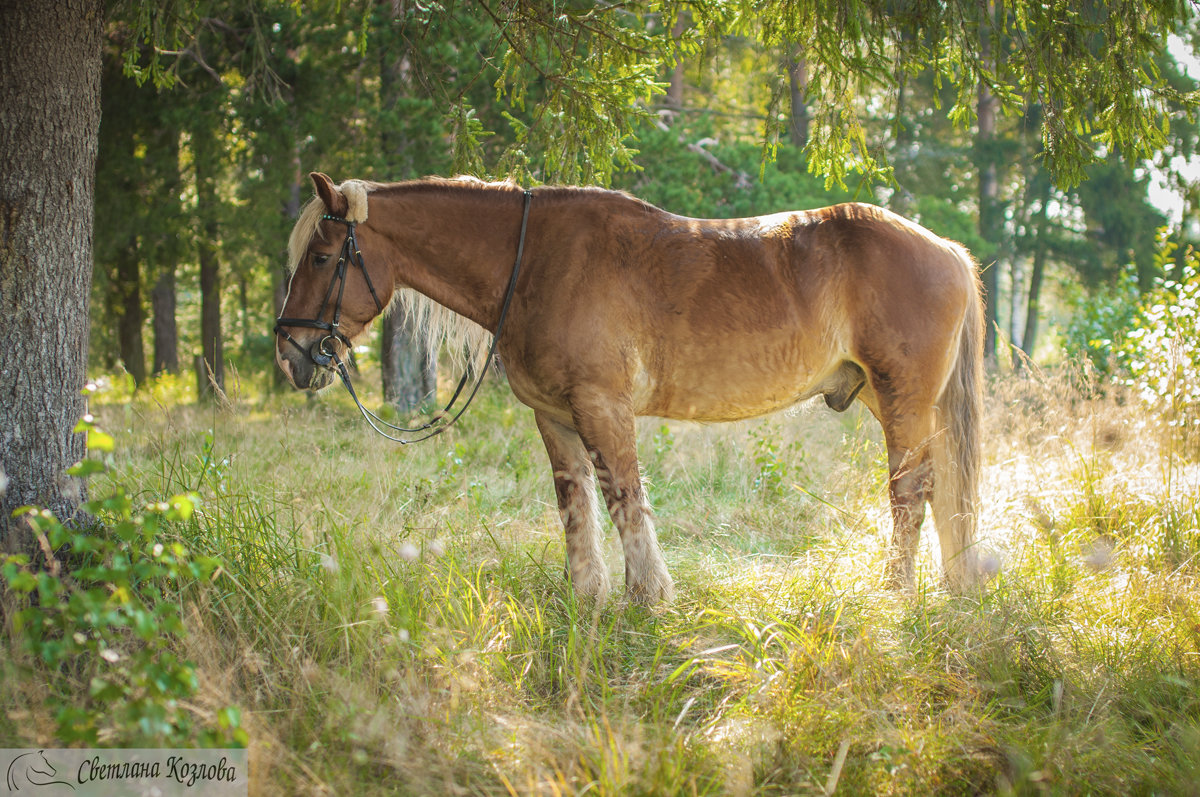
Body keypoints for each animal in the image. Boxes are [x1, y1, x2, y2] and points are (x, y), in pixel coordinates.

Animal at [276, 171, 979, 600]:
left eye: (321, 257)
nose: (291, 352)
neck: (535, 260)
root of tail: (944, 248)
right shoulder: (554, 416)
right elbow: (574, 502)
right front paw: (587, 593)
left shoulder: (601, 406)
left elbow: (623, 496)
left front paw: (648, 596)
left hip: (903, 401)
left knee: (910, 491)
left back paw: (895, 591)